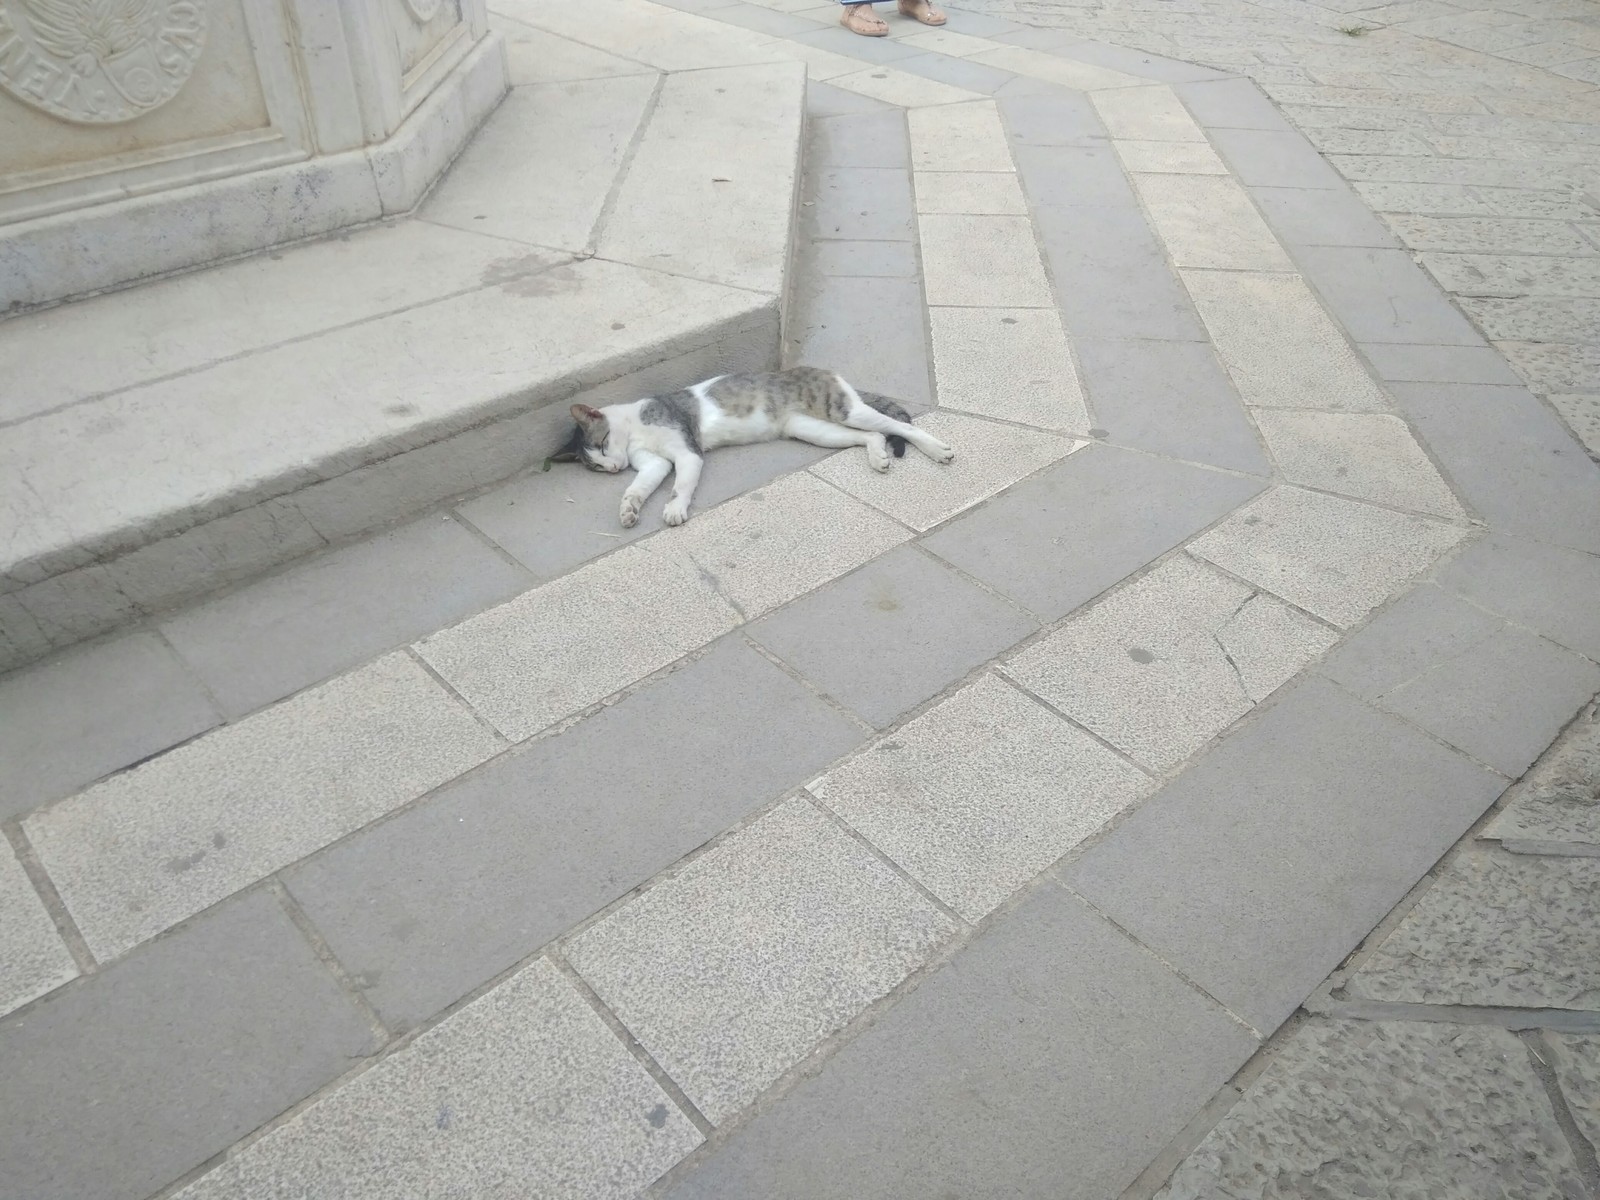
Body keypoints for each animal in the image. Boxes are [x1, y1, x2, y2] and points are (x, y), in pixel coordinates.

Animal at [550, 364, 947, 528]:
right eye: (596, 465)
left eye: (602, 444)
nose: (614, 467)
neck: (635, 428)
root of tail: (823, 370)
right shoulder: (654, 463)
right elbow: (639, 486)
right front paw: (629, 508)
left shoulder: (687, 452)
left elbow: (681, 485)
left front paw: (675, 509)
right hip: (814, 429)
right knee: (872, 435)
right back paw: (878, 455)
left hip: (842, 408)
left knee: (897, 425)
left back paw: (938, 450)